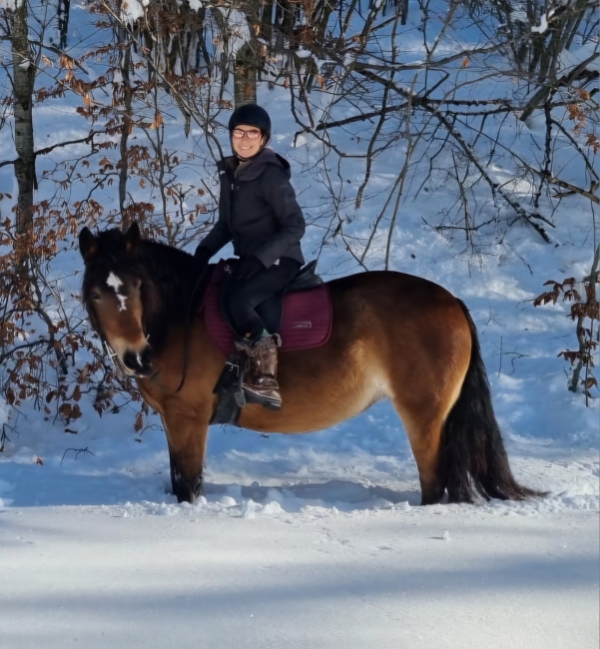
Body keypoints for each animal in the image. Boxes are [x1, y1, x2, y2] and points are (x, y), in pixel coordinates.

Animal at [79, 223, 542, 505]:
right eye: (98, 293)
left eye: (138, 286)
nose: (137, 357)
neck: (181, 316)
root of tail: (451, 301)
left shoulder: (187, 419)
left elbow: (188, 486)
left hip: (425, 417)